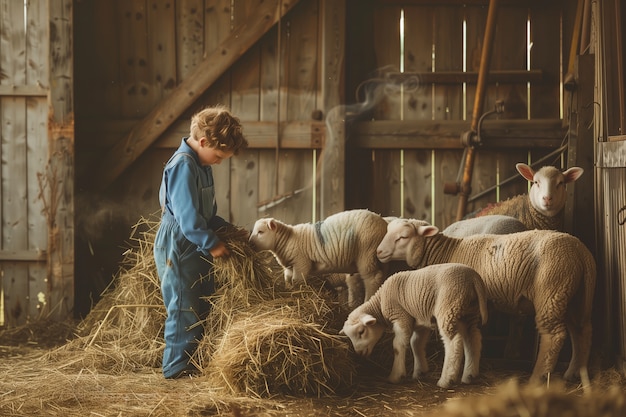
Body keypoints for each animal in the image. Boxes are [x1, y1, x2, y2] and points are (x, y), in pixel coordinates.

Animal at [250, 210, 390, 304]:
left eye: (261, 232)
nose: (250, 243)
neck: (288, 239)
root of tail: (384, 224)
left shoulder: (301, 262)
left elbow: (297, 281)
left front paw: (299, 293)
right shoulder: (289, 267)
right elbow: (288, 280)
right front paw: (289, 290)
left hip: (367, 251)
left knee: (373, 278)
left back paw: (368, 300)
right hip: (376, 257)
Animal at [338, 264, 486, 386]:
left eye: (361, 332)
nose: (359, 353)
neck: (380, 304)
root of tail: (472, 277)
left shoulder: (401, 316)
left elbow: (397, 346)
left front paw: (396, 376)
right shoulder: (420, 323)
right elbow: (416, 344)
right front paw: (420, 372)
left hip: (449, 306)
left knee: (454, 341)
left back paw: (446, 380)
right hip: (469, 312)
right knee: (473, 339)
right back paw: (469, 375)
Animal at [376, 218, 596, 384]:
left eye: (403, 237)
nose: (378, 252)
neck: (447, 251)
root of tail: (582, 252)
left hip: (551, 289)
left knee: (554, 336)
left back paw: (537, 377)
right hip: (572, 295)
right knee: (581, 331)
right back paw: (575, 372)